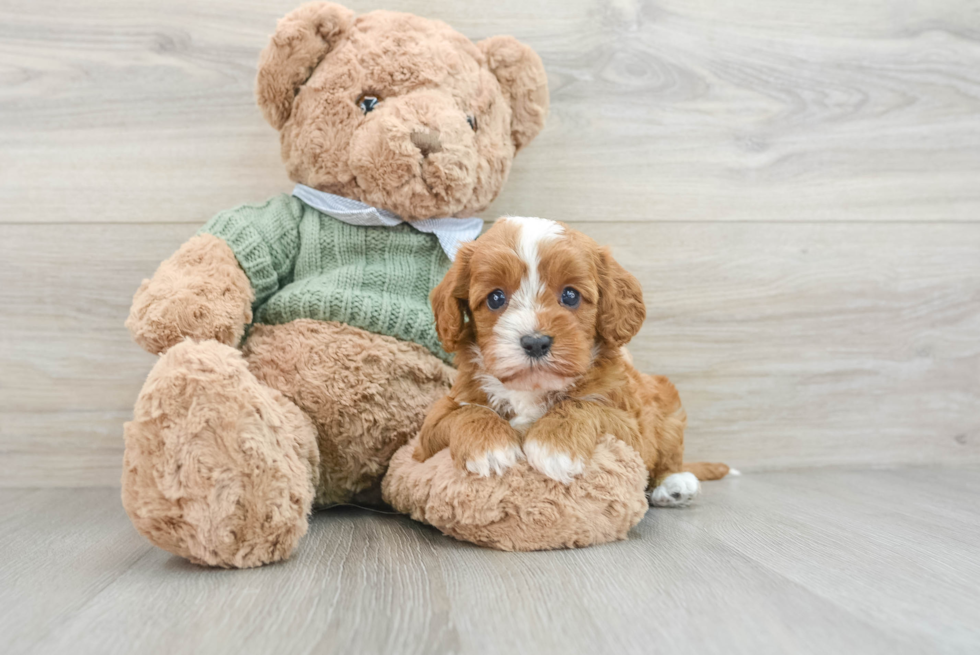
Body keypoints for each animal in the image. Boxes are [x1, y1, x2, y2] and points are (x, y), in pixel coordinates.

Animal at [414, 217, 728, 508]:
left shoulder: (632, 431)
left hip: (668, 408)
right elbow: (465, 412)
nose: (536, 342)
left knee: (670, 458)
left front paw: (554, 447)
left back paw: (676, 485)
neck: (532, 389)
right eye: (495, 298)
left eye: (570, 295)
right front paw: (490, 448)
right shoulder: (432, 429)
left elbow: (583, 405)